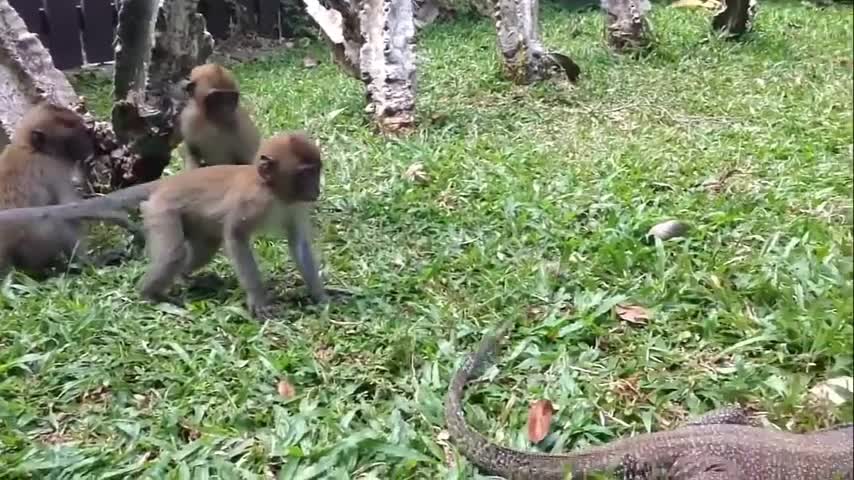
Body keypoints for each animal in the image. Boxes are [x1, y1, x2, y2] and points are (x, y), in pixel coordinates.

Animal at [0, 103, 135, 280]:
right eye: (74, 135)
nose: (88, 145)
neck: (30, 147)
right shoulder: (53, 169)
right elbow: (70, 206)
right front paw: (120, 217)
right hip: (36, 244)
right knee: (58, 220)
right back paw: (88, 264)